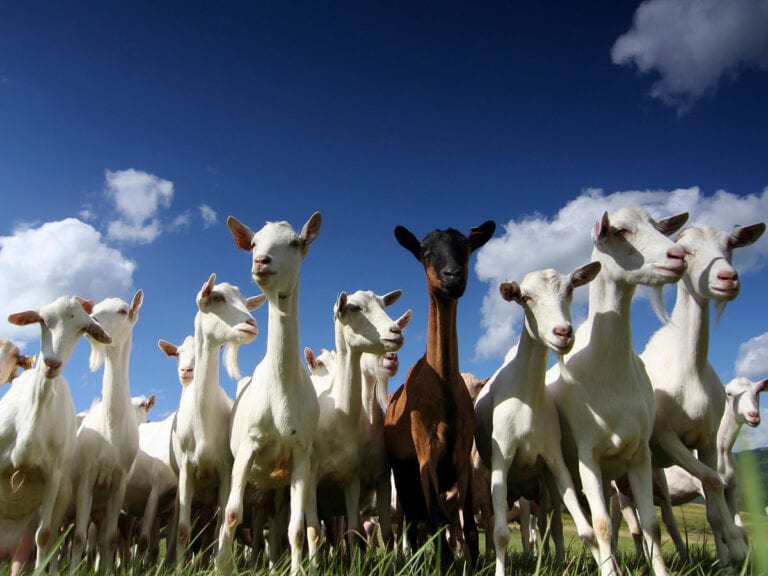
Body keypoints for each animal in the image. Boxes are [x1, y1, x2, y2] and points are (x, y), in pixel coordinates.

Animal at [384, 220, 495, 569]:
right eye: (424, 250)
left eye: (467, 246)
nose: (452, 276)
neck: (443, 388)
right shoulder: (425, 455)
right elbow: (437, 521)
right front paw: (444, 565)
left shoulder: (461, 456)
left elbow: (469, 527)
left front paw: (473, 565)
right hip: (404, 476)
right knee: (414, 523)